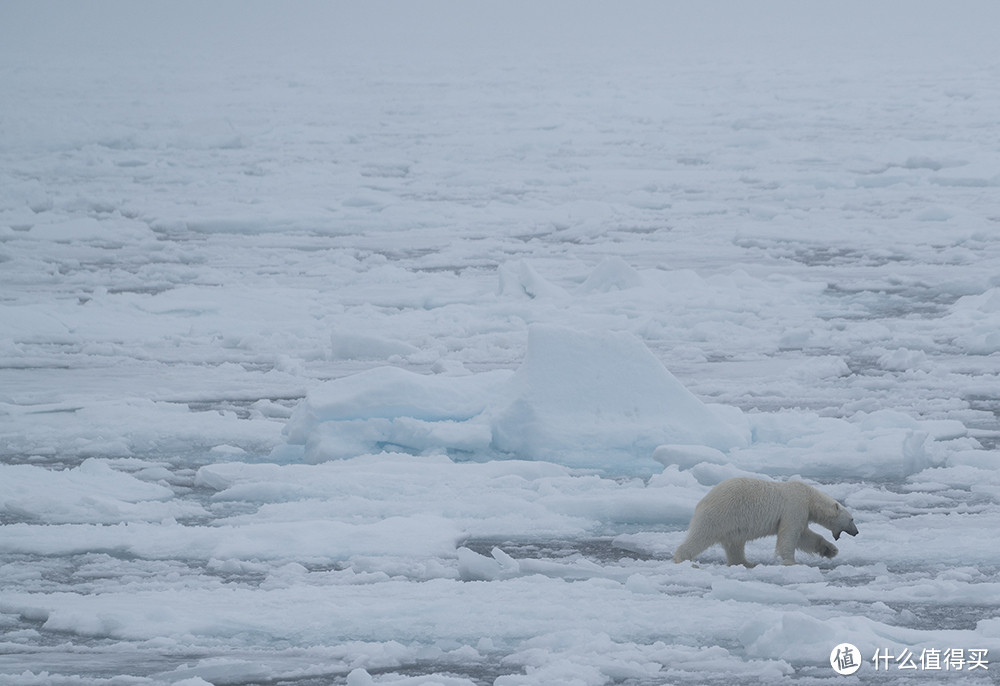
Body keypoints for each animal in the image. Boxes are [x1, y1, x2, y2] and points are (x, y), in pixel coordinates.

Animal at [672, 478, 860, 568]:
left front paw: (830, 550)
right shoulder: (794, 507)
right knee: (701, 536)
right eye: (852, 519)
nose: (856, 532)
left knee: (734, 544)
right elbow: (790, 534)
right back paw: (682, 558)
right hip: (720, 515)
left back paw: (746, 563)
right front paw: (791, 562)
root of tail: (703, 501)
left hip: (732, 524)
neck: (809, 497)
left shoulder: (801, 512)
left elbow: (805, 536)